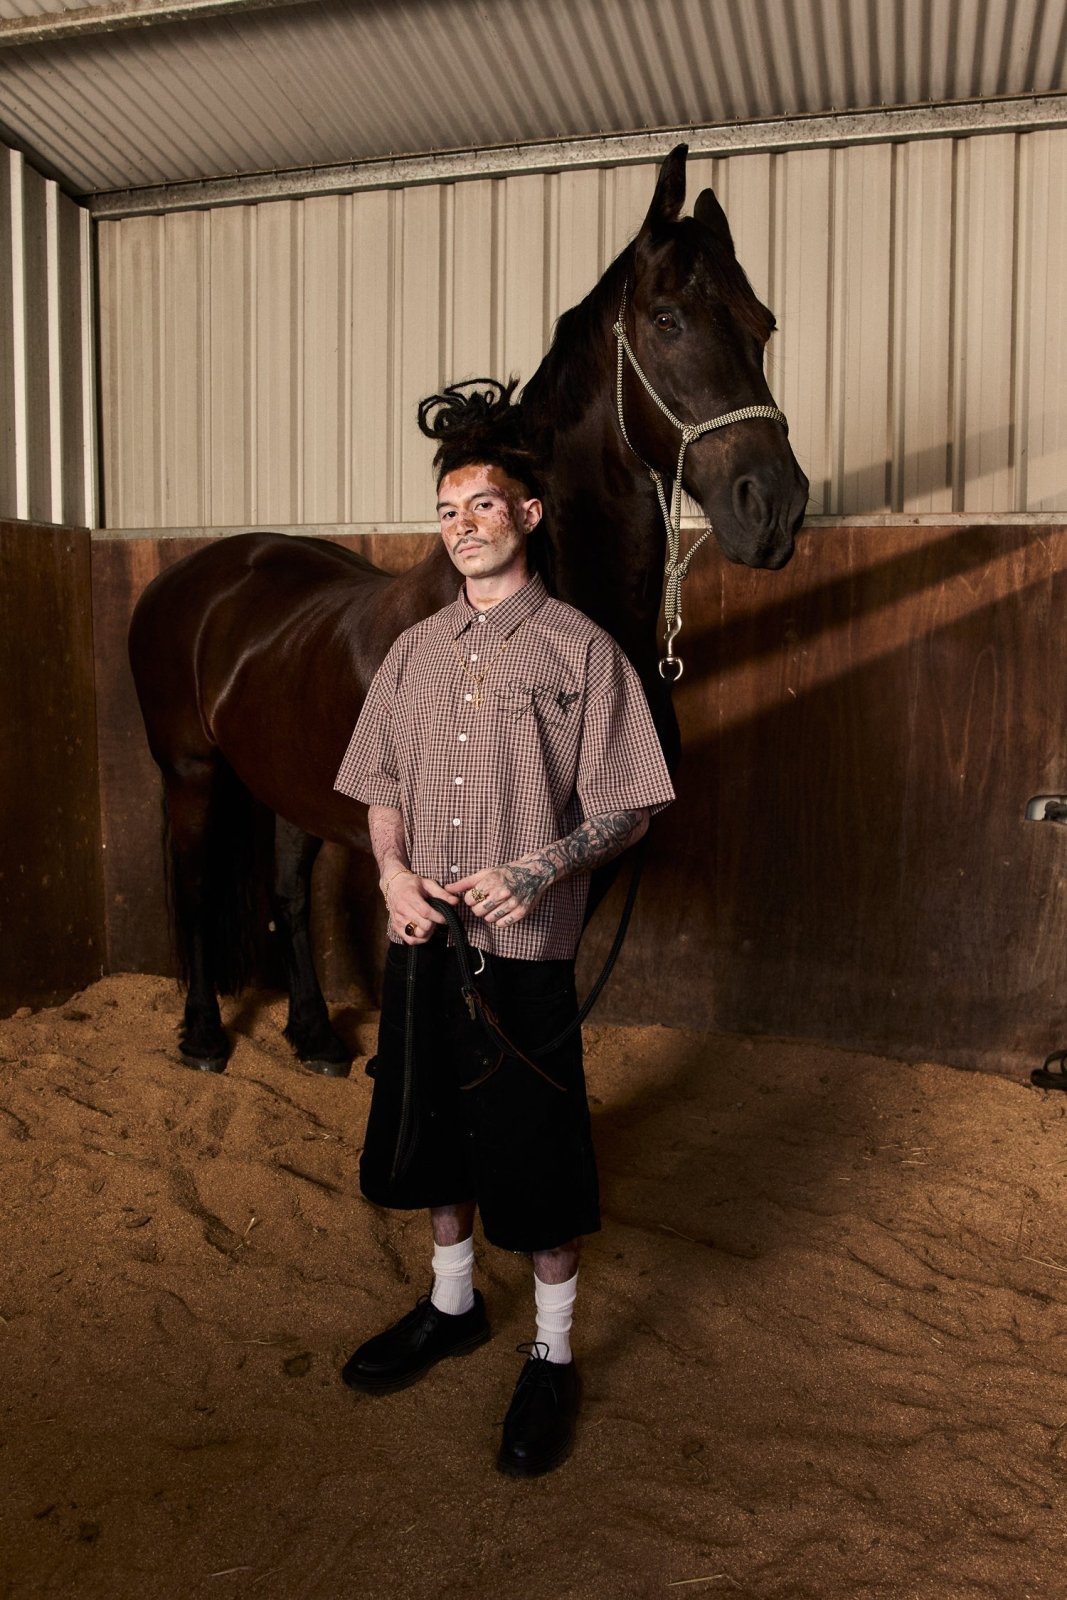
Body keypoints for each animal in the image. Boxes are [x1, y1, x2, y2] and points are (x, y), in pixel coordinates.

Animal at [127, 147, 809, 1075]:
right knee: (195, 889)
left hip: (286, 777)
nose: (772, 507)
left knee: (288, 893)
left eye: (761, 325)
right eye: (667, 320)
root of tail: (190, 577)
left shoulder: (571, 860)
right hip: (191, 773)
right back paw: (201, 1034)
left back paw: (313, 1034)